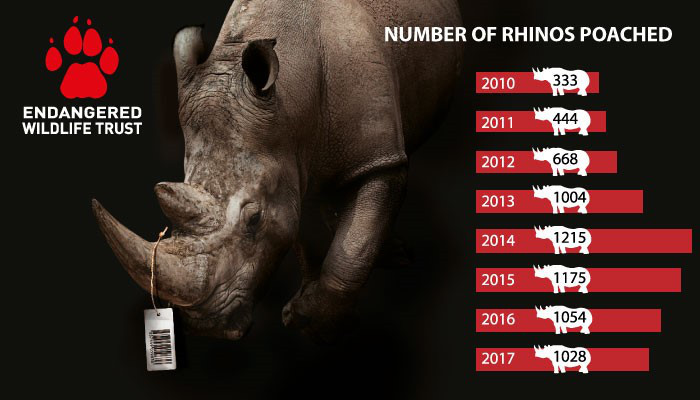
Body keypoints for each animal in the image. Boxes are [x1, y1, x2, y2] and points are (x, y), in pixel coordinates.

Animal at [92, 0, 463, 342]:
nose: (205, 328)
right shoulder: (288, 162)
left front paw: (315, 323)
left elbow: (353, 246)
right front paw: (307, 311)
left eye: (254, 220)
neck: (290, 99)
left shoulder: (379, 159)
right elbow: (302, 227)